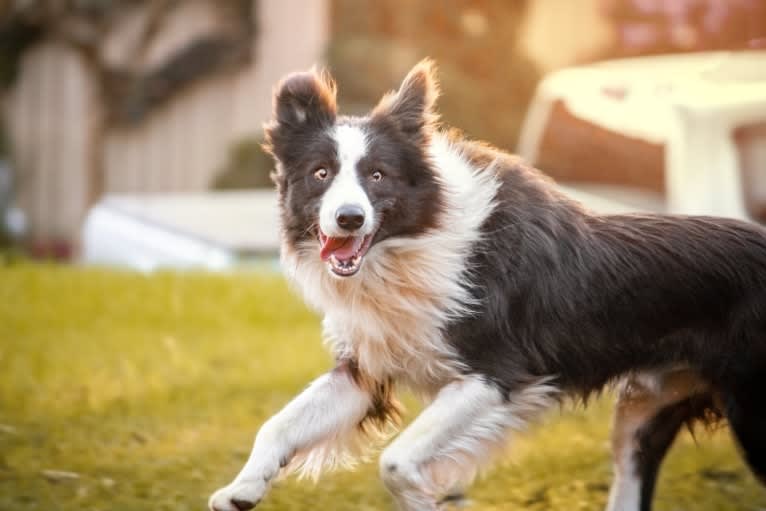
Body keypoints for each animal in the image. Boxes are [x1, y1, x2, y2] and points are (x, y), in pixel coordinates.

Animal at [210, 61, 766, 511]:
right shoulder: (365, 367)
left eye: (378, 175)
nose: (349, 219)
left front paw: (425, 498)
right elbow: (278, 423)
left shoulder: (498, 373)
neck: (414, 244)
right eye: (320, 173)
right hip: (643, 409)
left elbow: (395, 460)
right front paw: (241, 489)